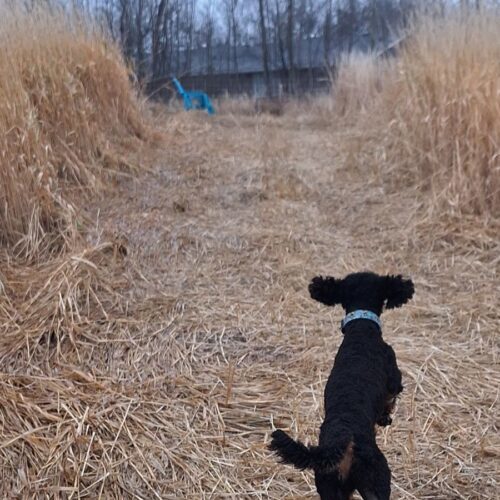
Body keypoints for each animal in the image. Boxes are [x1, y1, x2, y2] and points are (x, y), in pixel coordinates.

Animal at [270, 274, 414, 500]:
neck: (361, 328)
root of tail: (342, 442)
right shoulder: (393, 378)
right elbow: (391, 398)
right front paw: (386, 418)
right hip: (376, 482)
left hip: (330, 487)